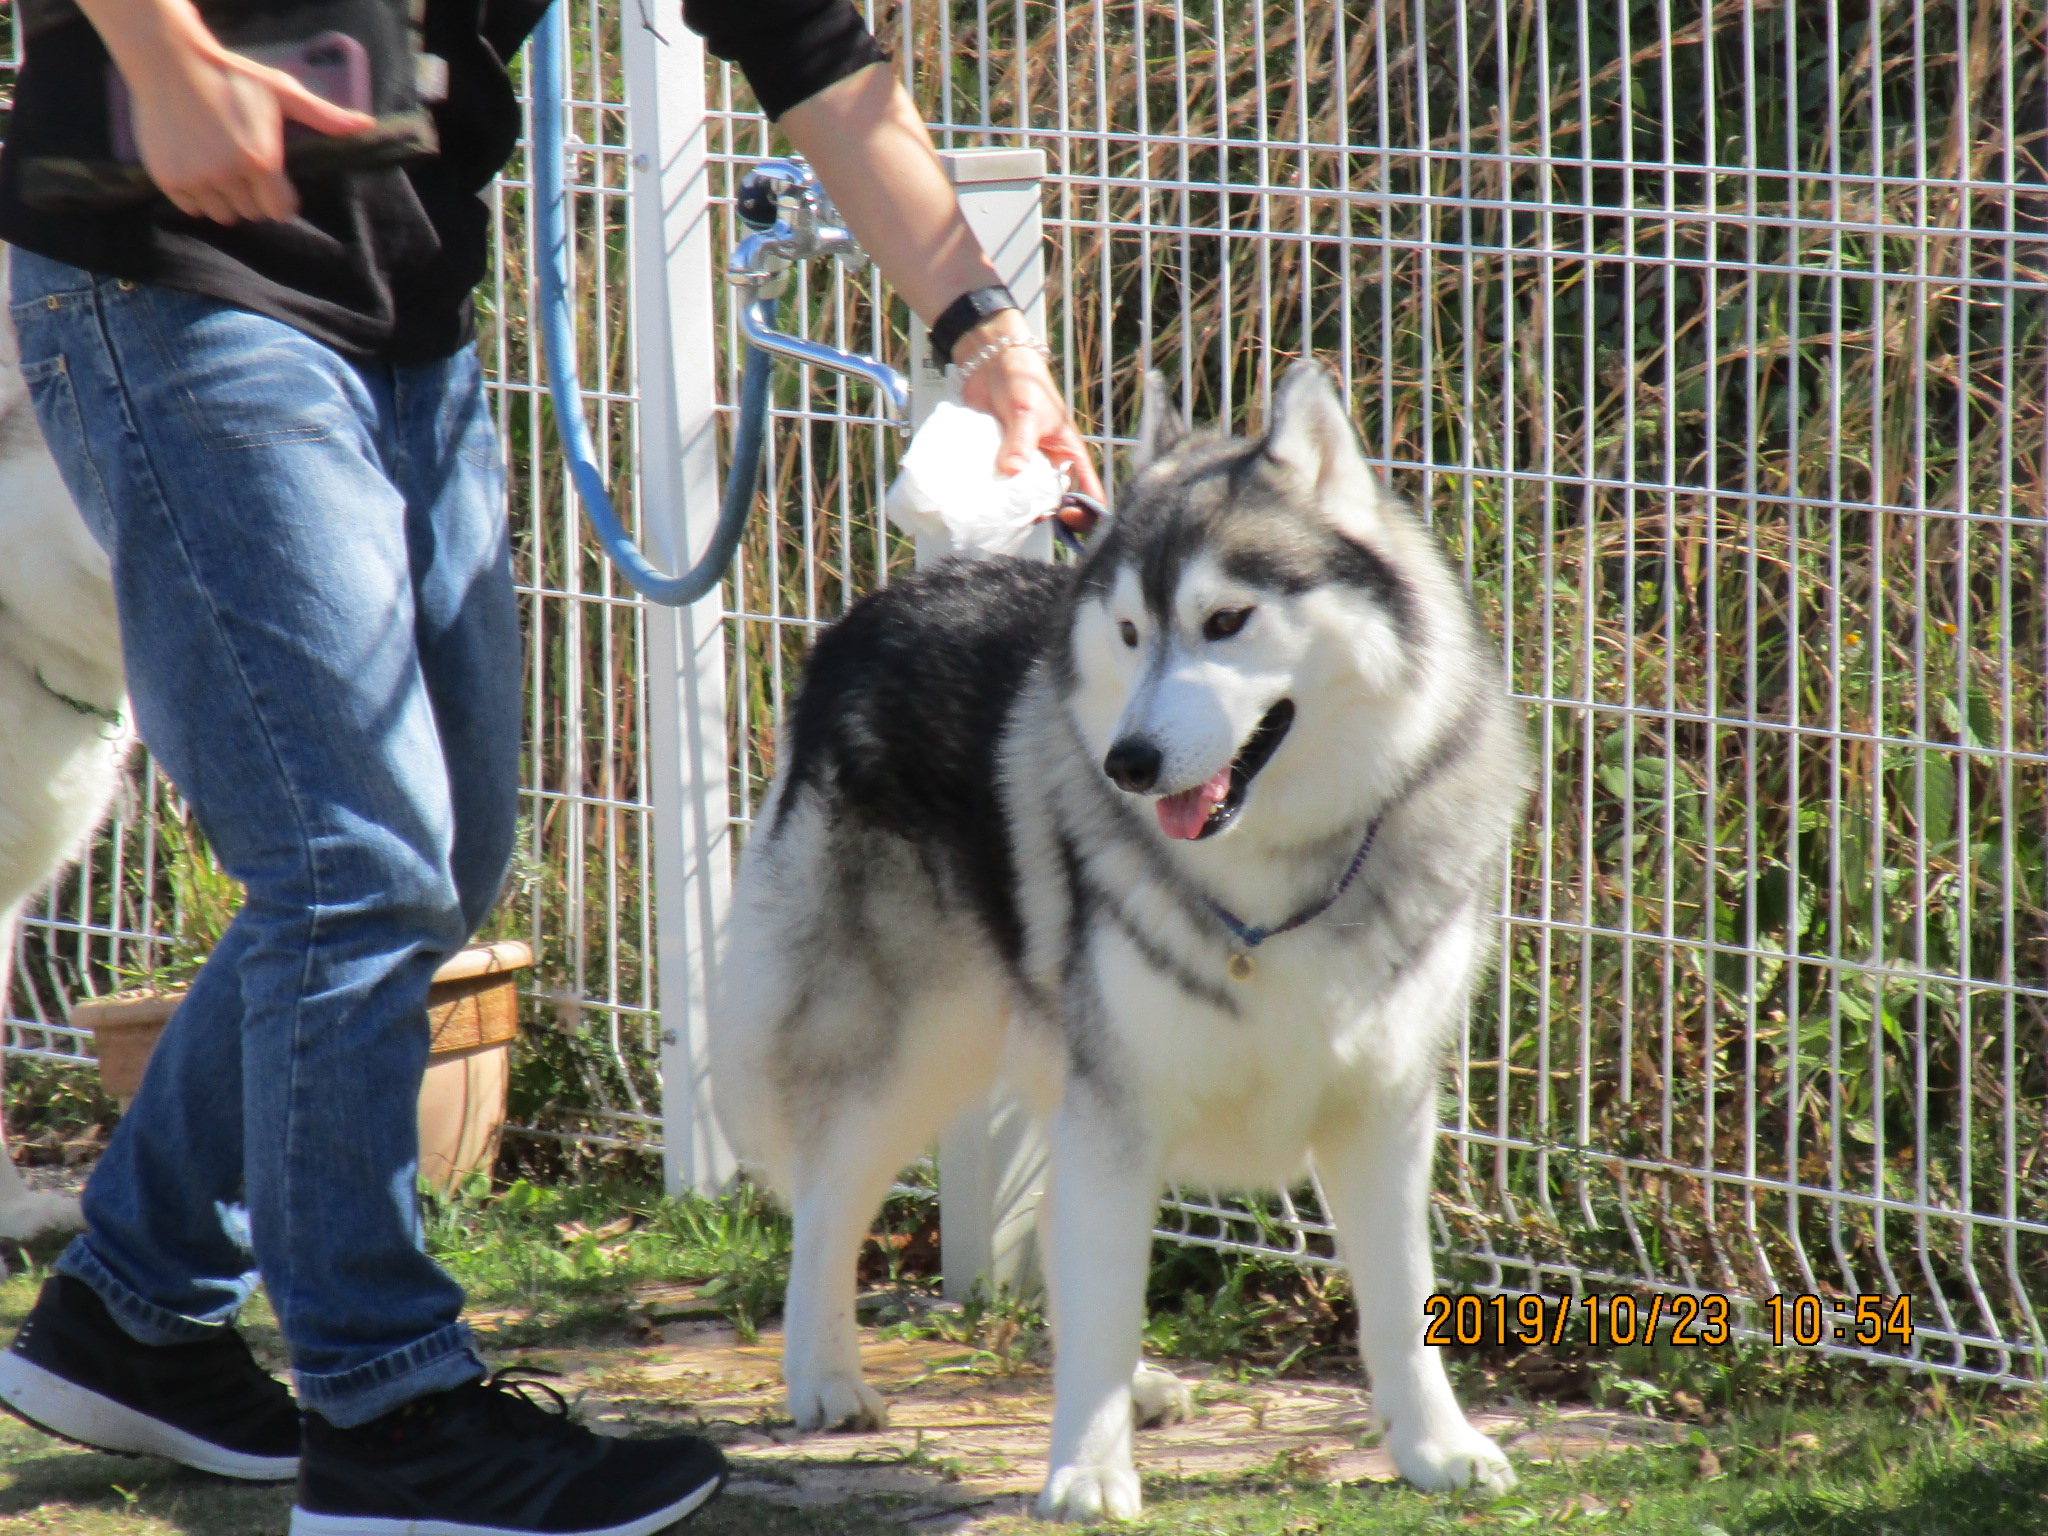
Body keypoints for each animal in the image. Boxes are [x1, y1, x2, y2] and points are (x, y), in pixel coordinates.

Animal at [720, 364, 1540, 1531]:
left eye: (1225, 620)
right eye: (1124, 632)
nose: (1129, 762)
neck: (1273, 869)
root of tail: (873, 611)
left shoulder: (1381, 1104)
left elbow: (1397, 1298)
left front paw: (1436, 1448)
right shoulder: (1121, 1104)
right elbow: (1108, 1292)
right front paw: (1085, 1471)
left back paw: (1135, 1388)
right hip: (908, 1051)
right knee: (829, 1205)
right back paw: (825, 1378)